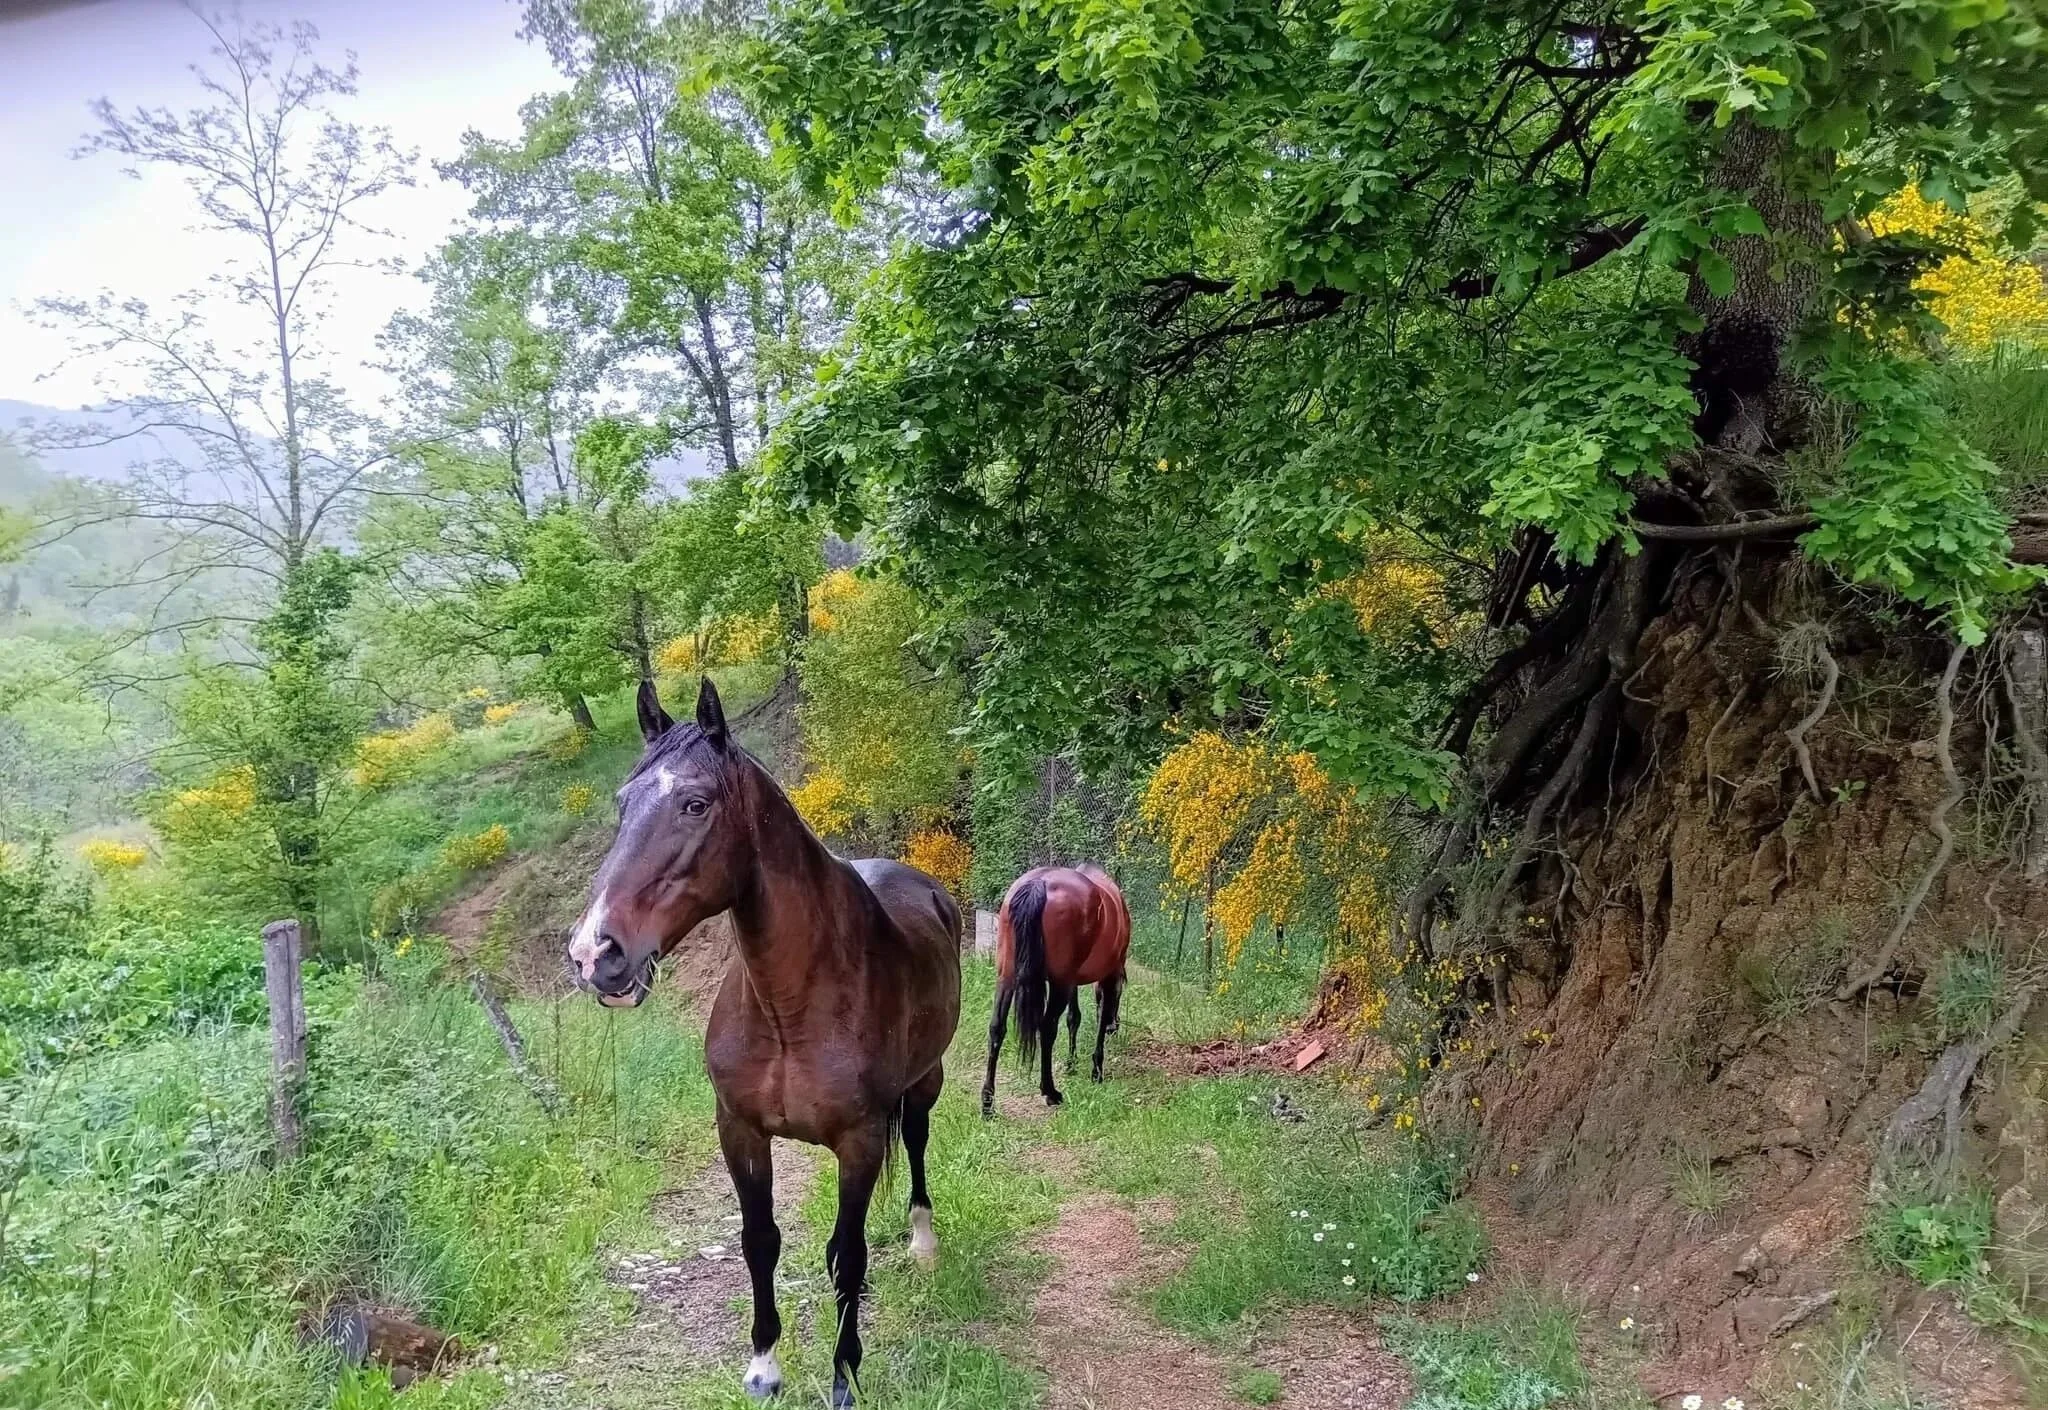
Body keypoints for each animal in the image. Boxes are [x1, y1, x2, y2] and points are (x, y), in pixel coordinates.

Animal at [565, 678, 962, 1409]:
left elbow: (852, 1249)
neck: (790, 1005)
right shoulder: (739, 1130)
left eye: (695, 804)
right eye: (622, 803)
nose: (594, 953)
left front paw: (844, 1376)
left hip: (926, 1082)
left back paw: (923, 1244)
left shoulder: (860, 1140)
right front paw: (764, 1365)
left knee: (917, 1145)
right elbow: (761, 1242)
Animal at [980, 864, 1131, 1116]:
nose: (1115, 1027)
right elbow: (1099, 1017)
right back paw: (1050, 1092)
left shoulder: (1073, 981)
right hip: (1059, 983)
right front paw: (1096, 1070)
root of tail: (1039, 883)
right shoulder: (1108, 976)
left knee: (996, 1028)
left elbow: (1074, 1018)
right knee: (1047, 1028)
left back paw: (987, 1104)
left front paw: (1072, 1063)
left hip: (1007, 977)